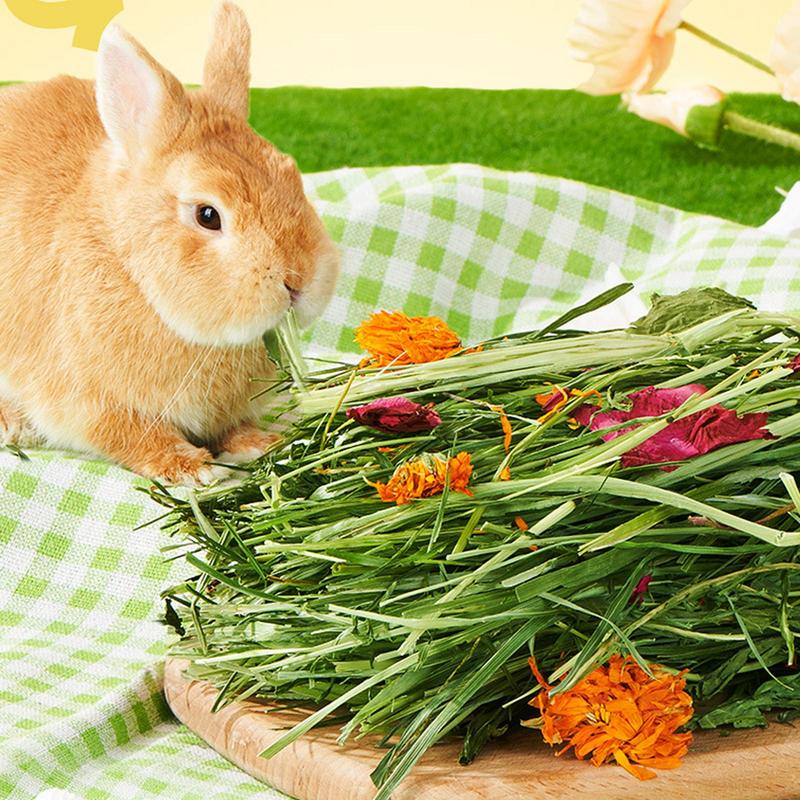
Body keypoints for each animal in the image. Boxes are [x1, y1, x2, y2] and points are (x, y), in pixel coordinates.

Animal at [0, 2, 339, 486]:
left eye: (292, 177)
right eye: (207, 215)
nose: (299, 280)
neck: (131, 271)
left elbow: (234, 426)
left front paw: (258, 444)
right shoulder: (91, 402)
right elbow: (134, 436)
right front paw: (192, 470)